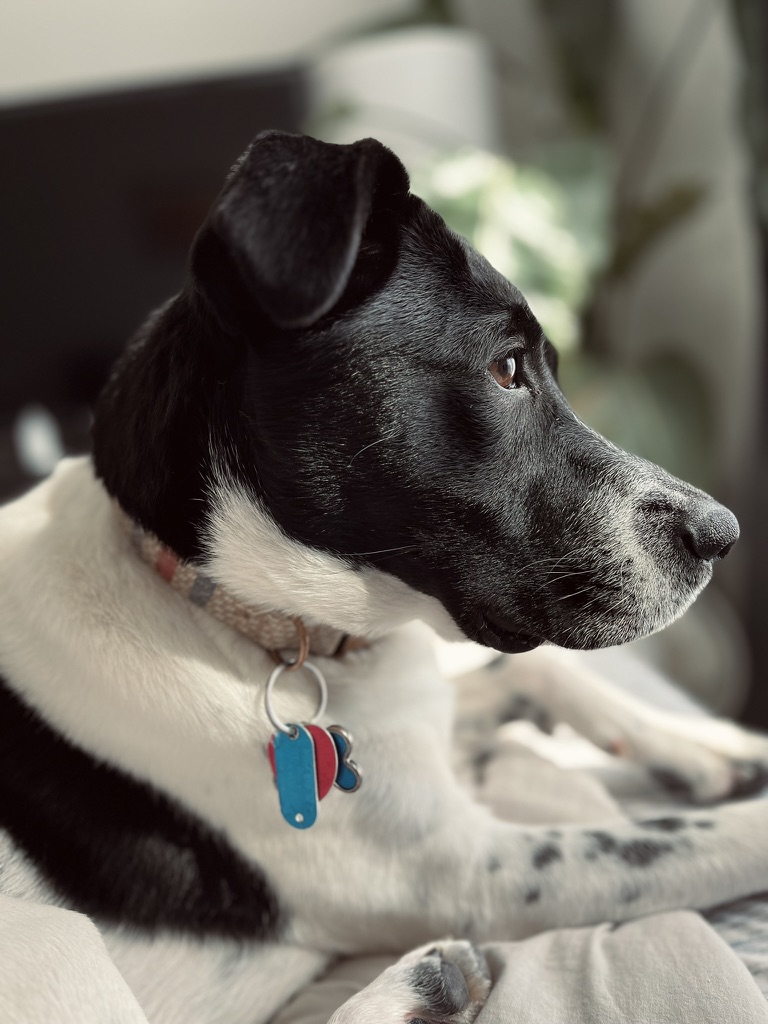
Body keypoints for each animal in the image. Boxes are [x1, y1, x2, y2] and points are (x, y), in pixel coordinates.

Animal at [2, 129, 768, 1024]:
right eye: (507, 369)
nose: (725, 534)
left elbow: (532, 675)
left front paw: (713, 745)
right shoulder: (472, 869)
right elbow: (718, 833)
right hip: (54, 942)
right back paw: (423, 983)